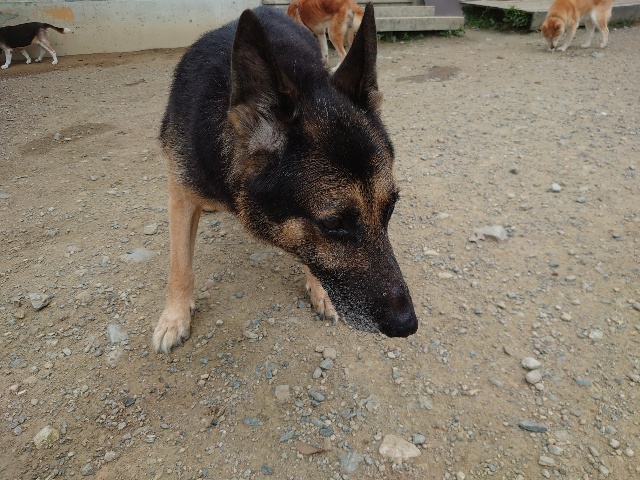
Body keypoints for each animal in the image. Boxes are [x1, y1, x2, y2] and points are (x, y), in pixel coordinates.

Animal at [153, 3, 417, 353]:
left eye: (390, 209)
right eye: (334, 224)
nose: (408, 325)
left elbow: (310, 252)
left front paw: (320, 290)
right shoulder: (181, 196)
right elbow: (179, 265)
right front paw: (174, 317)